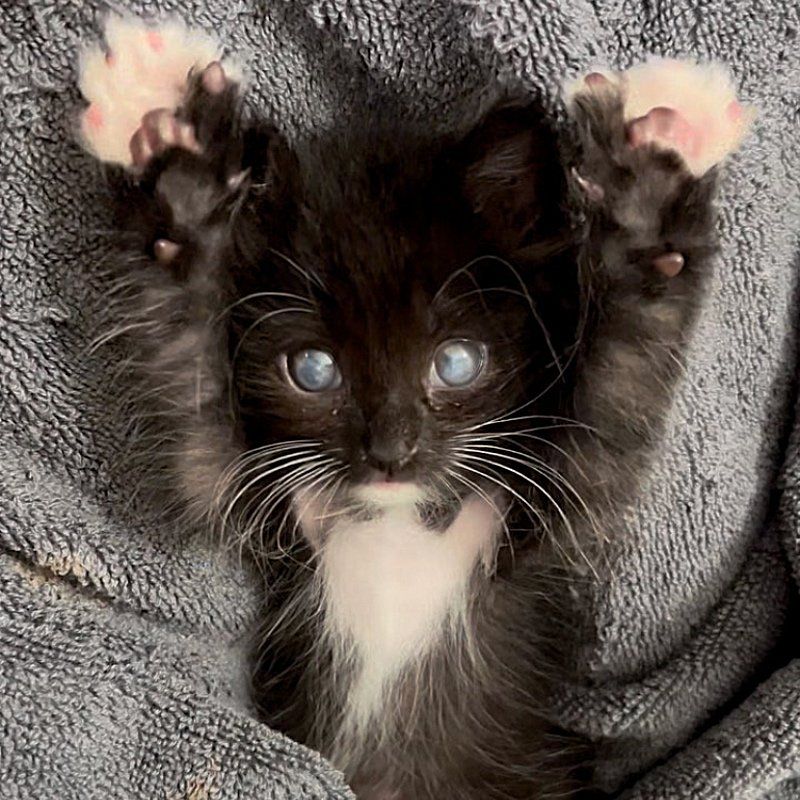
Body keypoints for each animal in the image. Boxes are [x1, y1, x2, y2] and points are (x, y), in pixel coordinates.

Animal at [79, 18, 752, 800]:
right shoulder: (253, 500)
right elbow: (185, 383)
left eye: (457, 363)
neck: (399, 522)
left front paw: (654, 172)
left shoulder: (550, 512)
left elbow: (623, 386)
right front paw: (170, 147)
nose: (390, 451)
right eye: (313, 370)